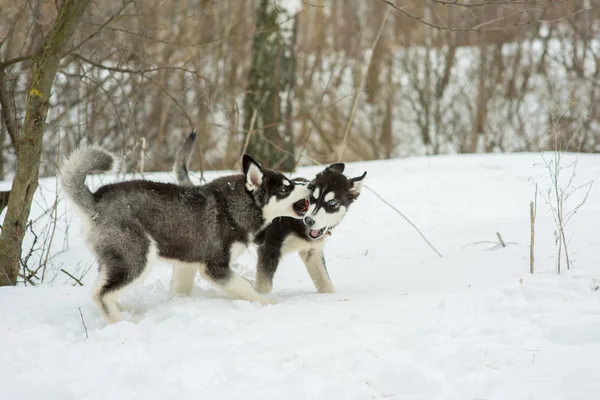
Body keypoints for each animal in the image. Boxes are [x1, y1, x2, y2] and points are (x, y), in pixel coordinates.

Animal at [60, 142, 312, 324]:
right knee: (100, 294)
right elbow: (245, 287)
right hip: (138, 256)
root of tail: (94, 200)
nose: (310, 185)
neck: (236, 206)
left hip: (117, 259)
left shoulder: (187, 264)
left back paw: (126, 310)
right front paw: (268, 303)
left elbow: (182, 290)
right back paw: (123, 322)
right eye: (285, 188)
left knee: (103, 288)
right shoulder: (214, 267)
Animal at [171, 133, 364, 296]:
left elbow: (326, 283)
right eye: (312, 199)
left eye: (332, 204)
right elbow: (264, 286)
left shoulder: (312, 253)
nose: (310, 221)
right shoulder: (269, 249)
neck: (298, 225)